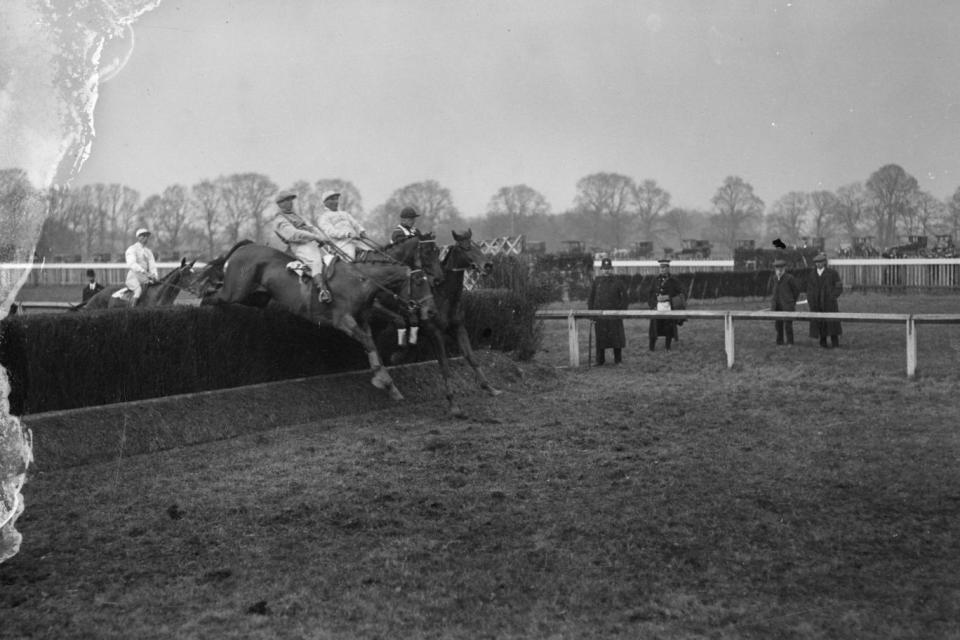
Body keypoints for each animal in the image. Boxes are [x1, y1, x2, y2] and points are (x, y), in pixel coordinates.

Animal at [206, 238, 438, 398]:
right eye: (419, 281)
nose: (431, 310)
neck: (361, 280)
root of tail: (246, 246)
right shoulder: (344, 320)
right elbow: (370, 340)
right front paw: (383, 379)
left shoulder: (363, 317)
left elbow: (374, 341)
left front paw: (390, 381)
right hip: (235, 291)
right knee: (211, 297)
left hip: (257, 297)